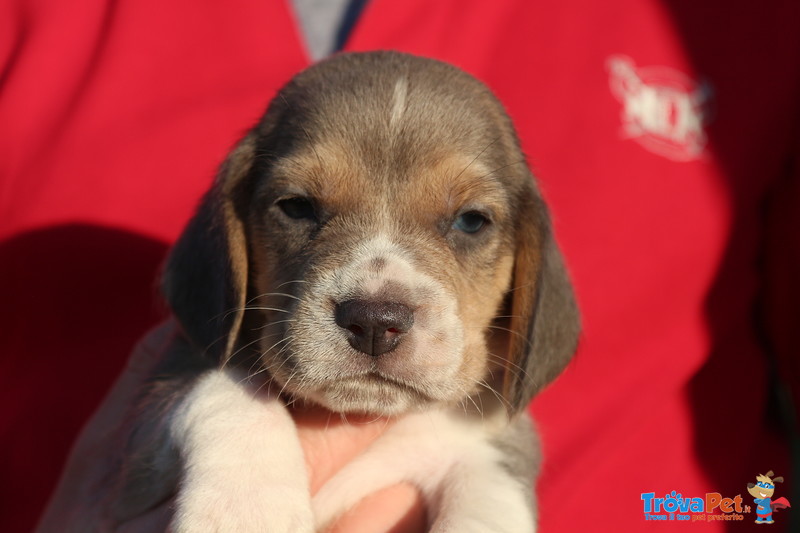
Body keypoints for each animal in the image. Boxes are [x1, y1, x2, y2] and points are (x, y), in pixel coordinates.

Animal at [111, 51, 576, 532]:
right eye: (297, 206)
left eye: (471, 221)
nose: (374, 322)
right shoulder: (150, 419)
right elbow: (230, 390)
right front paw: (249, 509)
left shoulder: (495, 442)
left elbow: (489, 499)